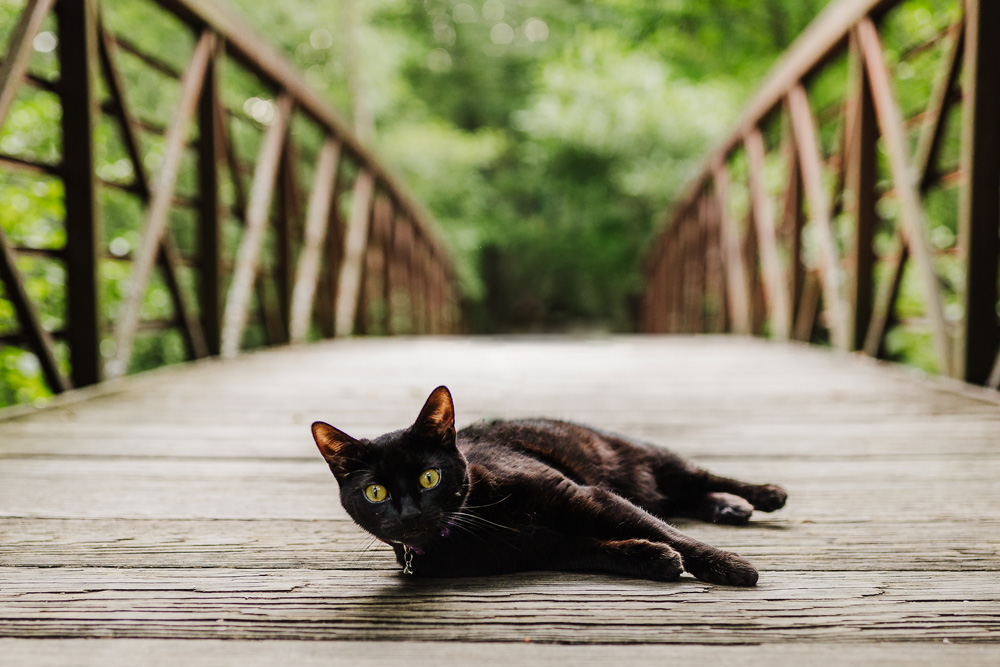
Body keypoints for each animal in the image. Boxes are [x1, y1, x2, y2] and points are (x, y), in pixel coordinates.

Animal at [312, 386, 788, 584]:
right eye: (375, 492)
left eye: (430, 477)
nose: (410, 513)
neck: (477, 524)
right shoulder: (546, 546)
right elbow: (600, 551)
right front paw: (655, 560)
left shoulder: (586, 497)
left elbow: (669, 533)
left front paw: (732, 567)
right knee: (677, 499)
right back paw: (728, 507)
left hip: (649, 462)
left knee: (696, 481)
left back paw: (763, 495)